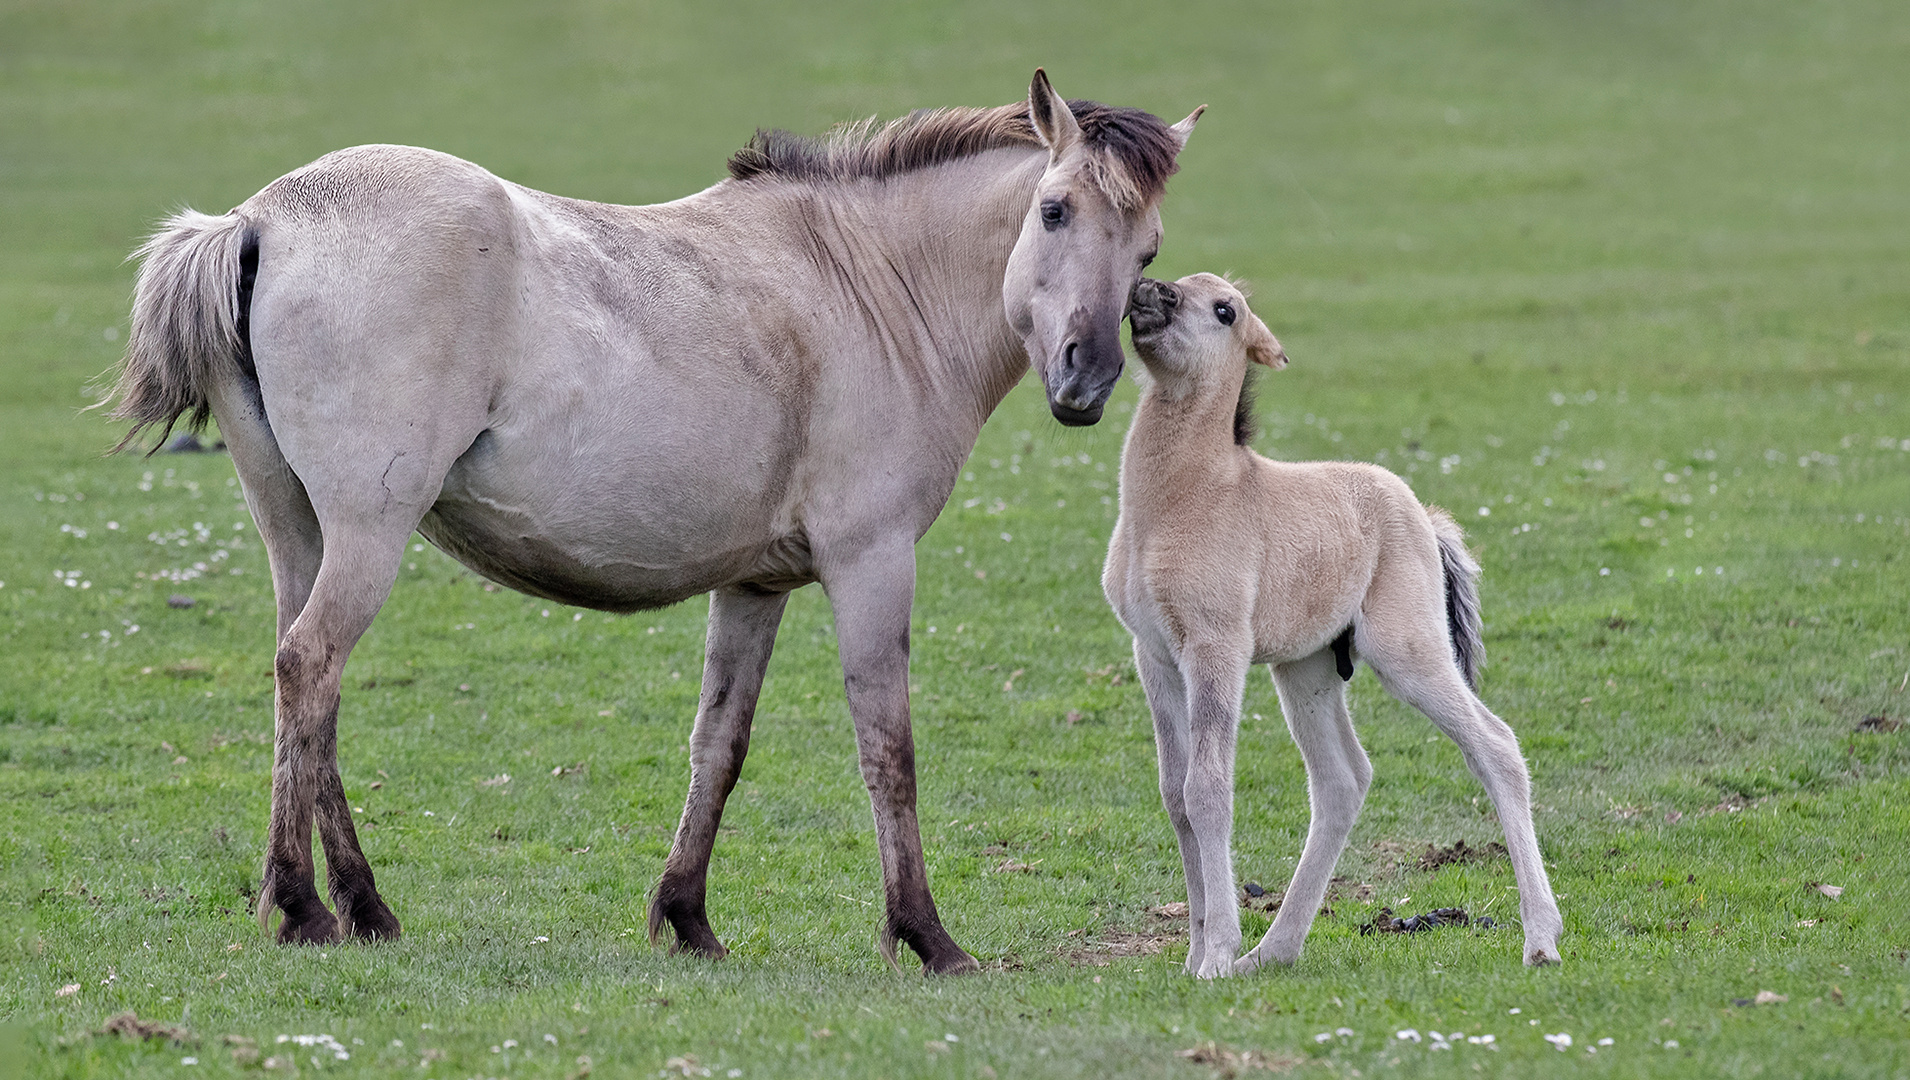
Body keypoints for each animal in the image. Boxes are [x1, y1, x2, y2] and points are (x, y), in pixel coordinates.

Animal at [111, 71, 1199, 971]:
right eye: (1052, 210)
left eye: (1146, 248)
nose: (1087, 379)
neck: (868, 288)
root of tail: (262, 220)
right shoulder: (872, 563)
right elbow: (887, 750)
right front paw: (925, 936)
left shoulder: (754, 585)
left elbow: (719, 744)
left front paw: (686, 917)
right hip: (366, 537)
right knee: (311, 668)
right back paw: (303, 908)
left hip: (299, 534)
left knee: (307, 688)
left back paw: (363, 907)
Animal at [1107, 273, 1566, 971]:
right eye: (1181, 280)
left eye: (1225, 310)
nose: (1147, 291)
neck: (1178, 501)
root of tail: (1423, 516)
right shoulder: (1154, 654)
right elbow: (1174, 795)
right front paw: (1198, 951)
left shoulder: (1215, 649)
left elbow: (1208, 789)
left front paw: (1215, 956)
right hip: (1308, 668)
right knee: (1342, 781)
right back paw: (1272, 951)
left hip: (1407, 650)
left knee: (1495, 745)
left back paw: (1541, 939)